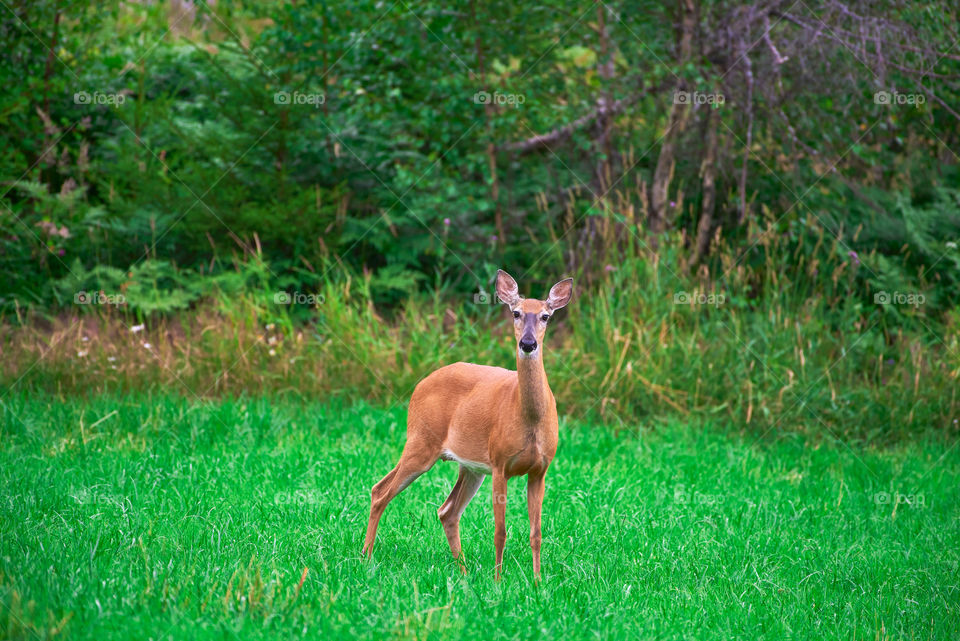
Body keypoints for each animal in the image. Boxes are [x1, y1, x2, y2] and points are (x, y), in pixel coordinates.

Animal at [358, 268, 568, 576]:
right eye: (515, 313)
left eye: (545, 316)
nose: (528, 344)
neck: (528, 418)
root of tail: (419, 386)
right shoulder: (500, 462)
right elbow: (500, 530)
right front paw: (498, 579)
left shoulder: (540, 468)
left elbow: (536, 532)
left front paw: (538, 581)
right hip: (421, 441)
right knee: (380, 491)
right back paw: (367, 557)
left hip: (469, 466)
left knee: (447, 510)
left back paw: (464, 571)